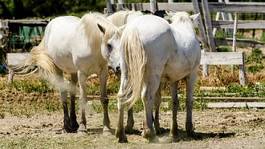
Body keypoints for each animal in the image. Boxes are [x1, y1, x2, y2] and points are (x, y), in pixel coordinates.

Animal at [97, 11, 200, 142]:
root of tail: (134, 29)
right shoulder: (192, 75)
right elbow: (188, 100)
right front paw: (189, 130)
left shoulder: (173, 79)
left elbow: (174, 102)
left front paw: (174, 132)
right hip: (152, 76)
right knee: (146, 96)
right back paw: (149, 133)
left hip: (128, 73)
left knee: (121, 96)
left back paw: (121, 134)